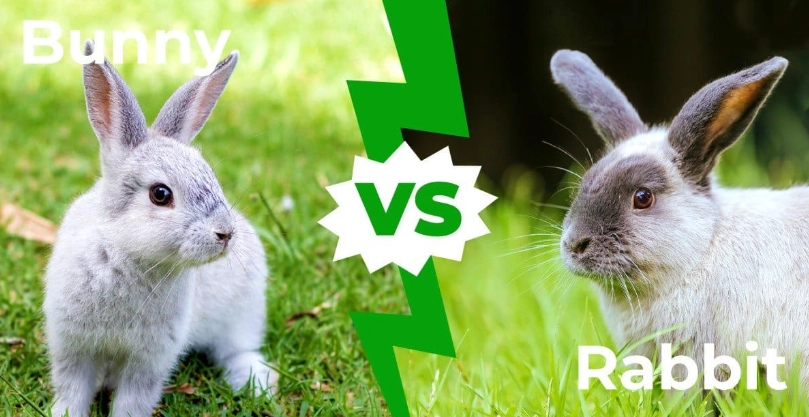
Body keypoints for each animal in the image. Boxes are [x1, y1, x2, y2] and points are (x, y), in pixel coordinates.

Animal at [42, 40, 278, 417]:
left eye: (211, 176)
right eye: (160, 194)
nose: (225, 234)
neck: (126, 254)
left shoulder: (150, 359)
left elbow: (133, 399)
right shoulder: (72, 345)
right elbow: (73, 389)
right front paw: (64, 413)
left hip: (243, 313)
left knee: (237, 349)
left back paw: (256, 382)